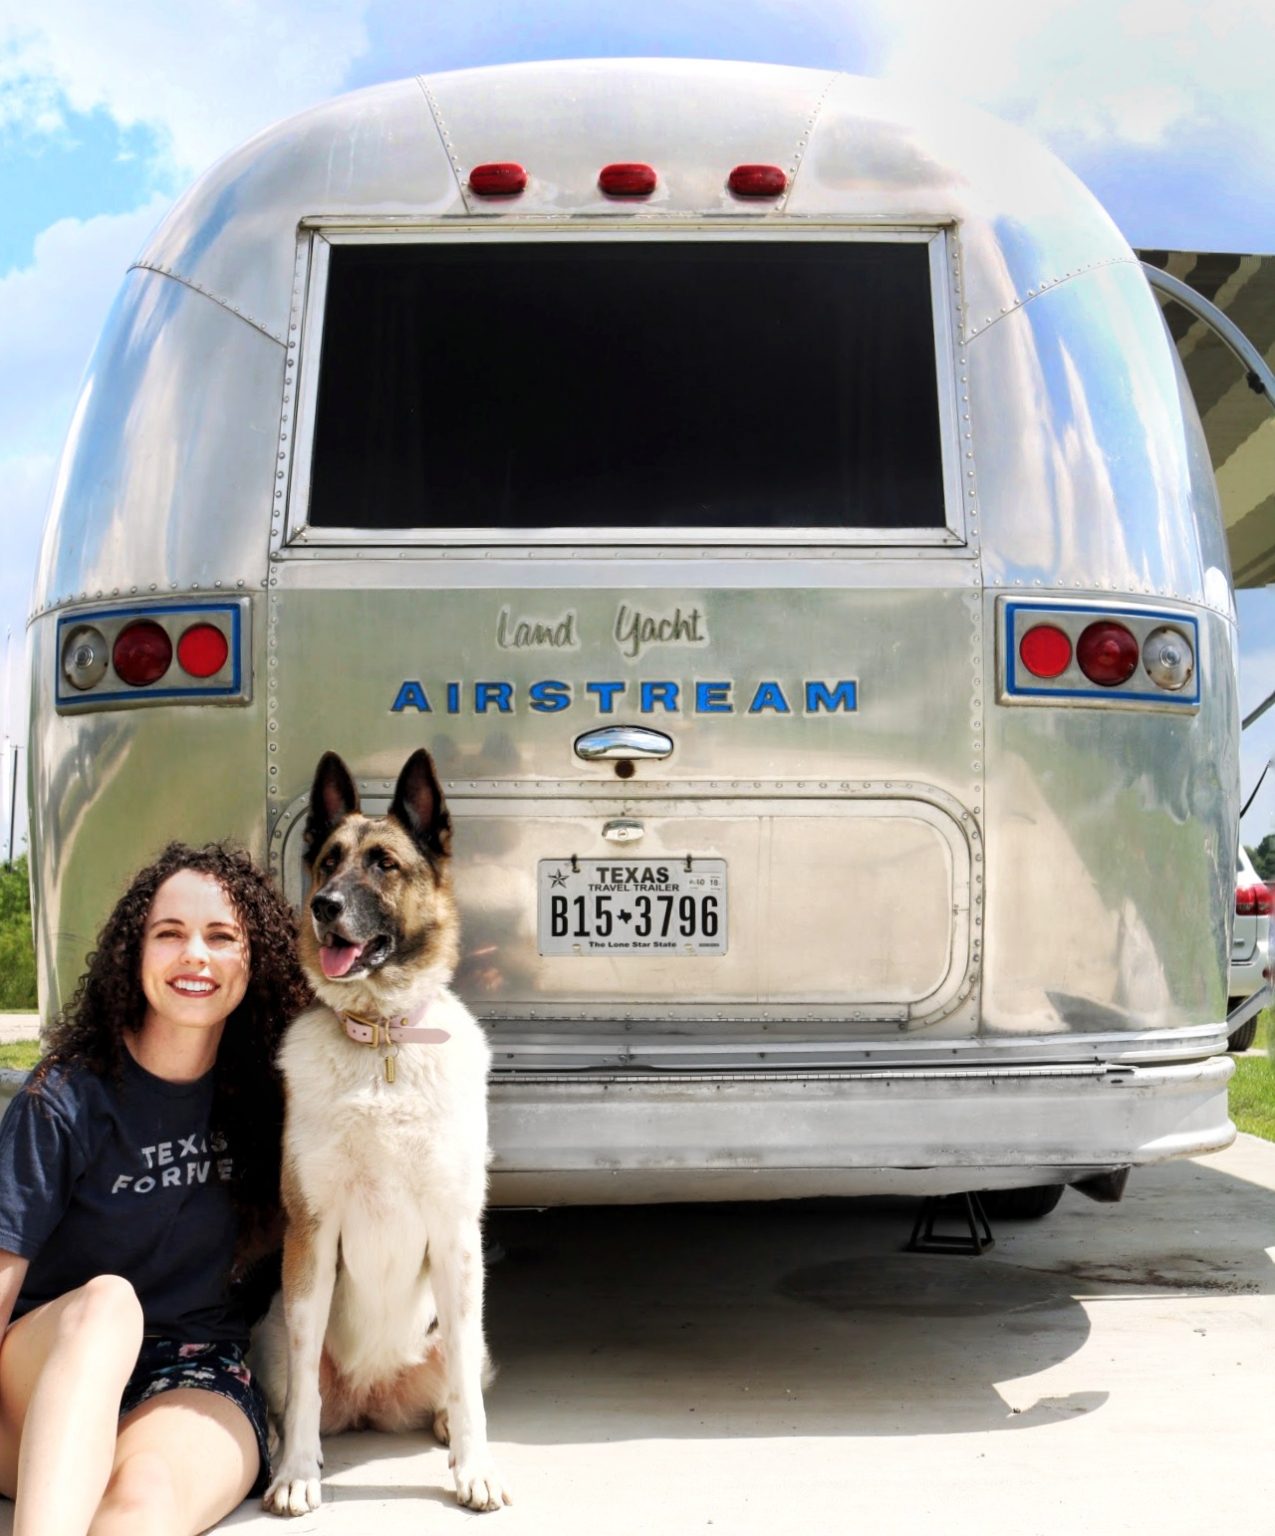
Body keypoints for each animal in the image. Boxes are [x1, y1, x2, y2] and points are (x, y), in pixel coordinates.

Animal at [256, 747, 508, 1515]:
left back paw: (447, 1427)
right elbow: (303, 1383)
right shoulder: (311, 1237)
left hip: (472, 1335)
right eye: (328, 862)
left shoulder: (456, 1237)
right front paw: (296, 1474)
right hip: (269, 1335)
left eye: (383, 865)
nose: (324, 906)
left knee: (460, 1379)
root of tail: (372, 1398)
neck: (382, 1043)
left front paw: (474, 1467)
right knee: (294, 1398)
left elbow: (465, 1386)